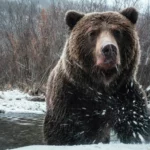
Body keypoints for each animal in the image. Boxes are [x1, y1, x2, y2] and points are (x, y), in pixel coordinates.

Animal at [43, 7, 150, 144]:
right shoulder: (69, 100)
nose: (109, 48)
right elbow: (61, 132)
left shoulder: (126, 97)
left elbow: (138, 126)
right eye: (92, 33)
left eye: (117, 31)